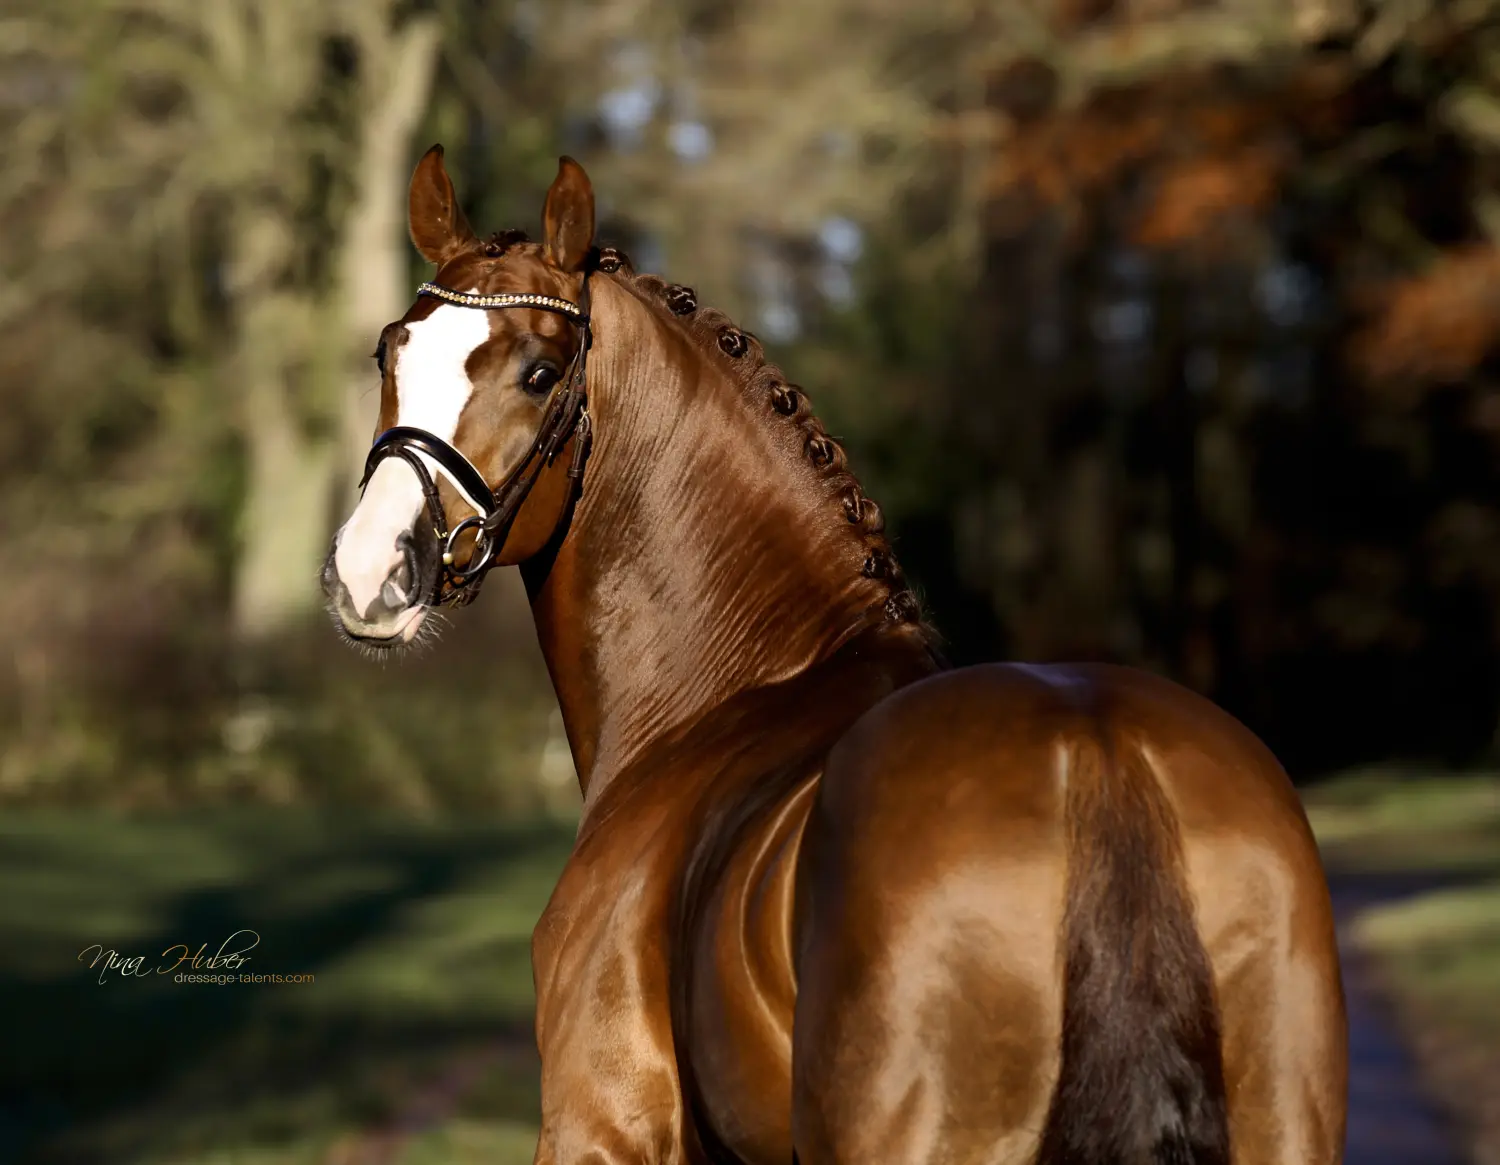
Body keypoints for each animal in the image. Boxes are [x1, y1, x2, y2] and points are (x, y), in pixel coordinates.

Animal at [322, 145, 1347, 1165]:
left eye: (539, 372)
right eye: (390, 351)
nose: (372, 568)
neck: (730, 695)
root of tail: (1099, 755)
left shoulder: (598, 1124)